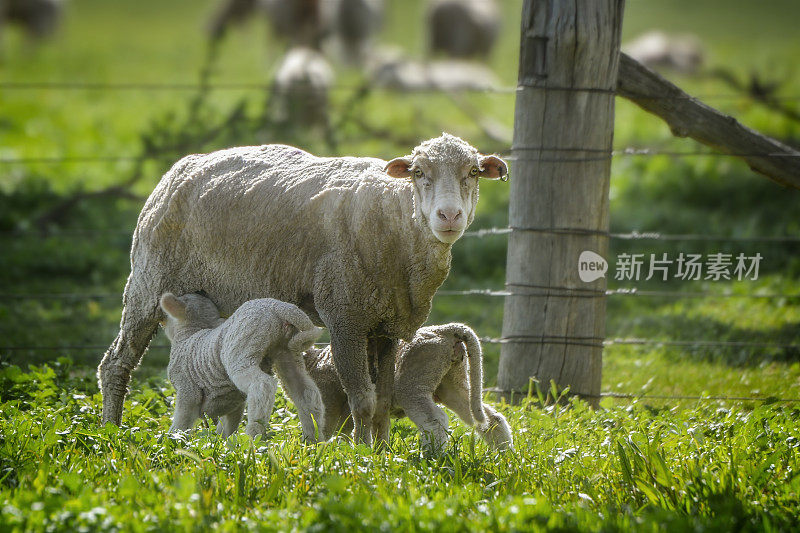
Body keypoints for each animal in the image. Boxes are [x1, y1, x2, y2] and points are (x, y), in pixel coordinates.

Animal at [158, 290, 324, 440]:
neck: (191, 333)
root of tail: (280, 307)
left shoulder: (186, 389)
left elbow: (182, 421)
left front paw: (172, 440)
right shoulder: (234, 402)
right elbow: (227, 426)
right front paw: (223, 444)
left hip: (243, 347)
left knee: (263, 385)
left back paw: (253, 438)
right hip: (287, 350)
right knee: (306, 392)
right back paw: (314, 440)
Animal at [304, 322, 516, 450]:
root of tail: (446, 330)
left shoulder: (328, 402)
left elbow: (322, 428)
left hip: (414, 382)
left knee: (434, 420)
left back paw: (433, 456)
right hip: (452, 383)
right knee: (491, 418)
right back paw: (504, 454)